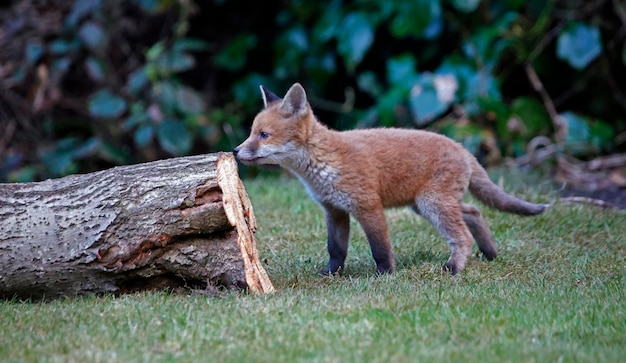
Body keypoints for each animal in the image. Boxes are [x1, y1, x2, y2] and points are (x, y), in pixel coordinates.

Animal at [234, 82, 544, 276]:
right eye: (251, 132)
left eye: (263, 135)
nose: (236, 151)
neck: (322, 164)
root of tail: (463, 148)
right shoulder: (334, 210)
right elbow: (336, 249)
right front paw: (330, 274)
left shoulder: (367, 206)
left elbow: (380, 247)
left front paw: (385, 274)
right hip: (424, 204)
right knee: (474, 211)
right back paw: (490, 252)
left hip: (433, 204)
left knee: (462, 235)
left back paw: (455, 267)